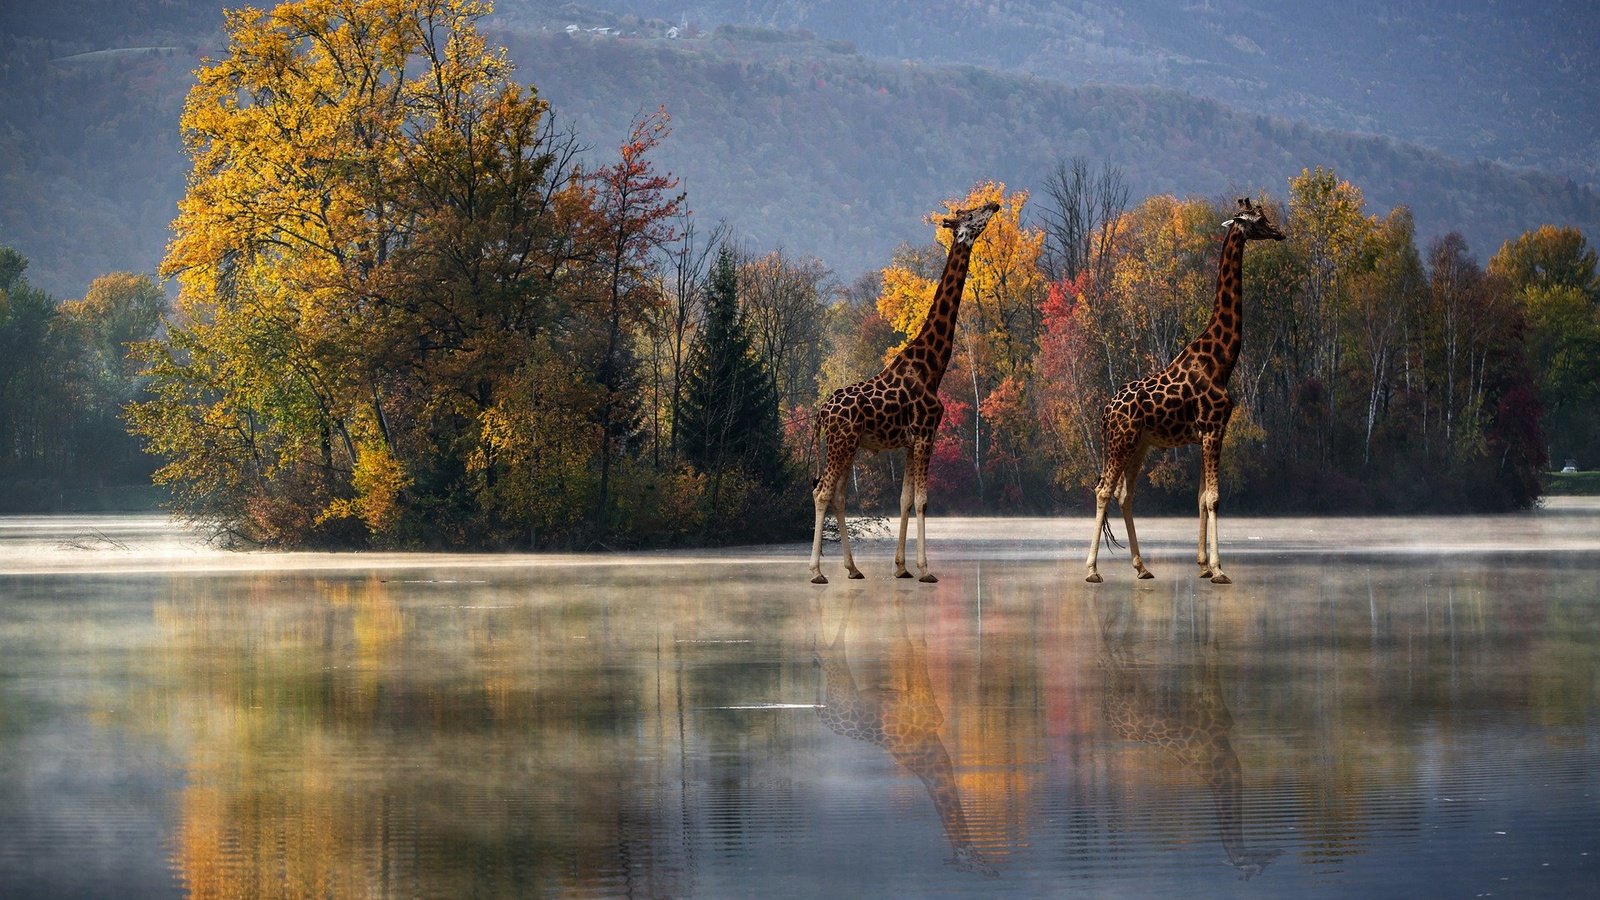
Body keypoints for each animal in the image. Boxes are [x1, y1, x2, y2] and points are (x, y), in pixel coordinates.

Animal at [812, 197, 998, 582]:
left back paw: (853, 568)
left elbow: (905, 499)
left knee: (838, 496)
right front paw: (925, 569)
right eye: (971, 214)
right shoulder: (927, 432)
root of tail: (821, 412)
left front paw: (901, 567)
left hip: (847, 446)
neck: (932, 366)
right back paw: (816, 571)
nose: (995, 203)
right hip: (841, 443)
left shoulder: (912, 440)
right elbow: (923, 501)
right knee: (822, 493)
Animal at [812, 592, 998, 871]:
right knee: (833, 650)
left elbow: (909, 639)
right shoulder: (926, 700)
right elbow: (916, 643)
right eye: (972, 863)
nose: (991, 867)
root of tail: (825, 715)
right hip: (843, 686)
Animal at [1075, 196, 1286, 582]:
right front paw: (1218, 569)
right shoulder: (1214, 427)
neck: (1221, 360)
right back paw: (1093, 569)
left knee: (1125, 494)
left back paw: (1142, 567)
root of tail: (1105, 412)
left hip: (1139, 444)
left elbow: (1201, 497)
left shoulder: (1208, 432)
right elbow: (1214, 497)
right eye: (1257, 220)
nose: (1279, 232)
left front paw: (1202, 564)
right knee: (1103, 490)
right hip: (1121, 441)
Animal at [1094, 589, 1280, 877]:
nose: (1273, 854)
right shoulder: (1214, 708)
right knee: (1109, 654)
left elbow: (1204, 645)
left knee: (1119, 651)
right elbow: (1211, 647)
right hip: (1125, 685)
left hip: (1133, 684)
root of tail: (1106, 712)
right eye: (1256, 868)